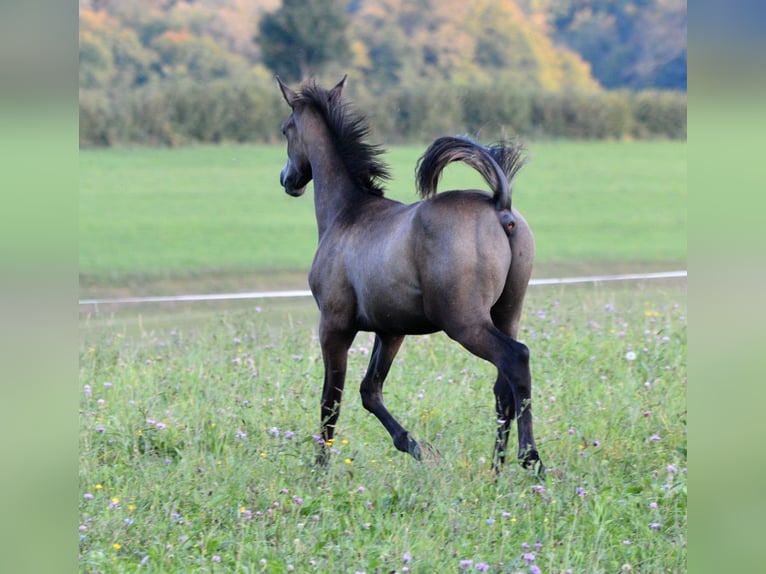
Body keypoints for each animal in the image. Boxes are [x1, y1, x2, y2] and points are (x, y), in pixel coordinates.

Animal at [280, 74, 544, 474]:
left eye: (285, 130)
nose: (288, 179)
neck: (347, 213)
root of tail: (501, 205)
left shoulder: (334, 326)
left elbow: (331, 402)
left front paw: (319, 470)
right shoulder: (391, 330)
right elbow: (369, 391)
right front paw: (417, 448)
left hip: (464, 322)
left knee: (516, 359)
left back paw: (530, 459)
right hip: (507, 311)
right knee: (504, 386)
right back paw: (496, 470)